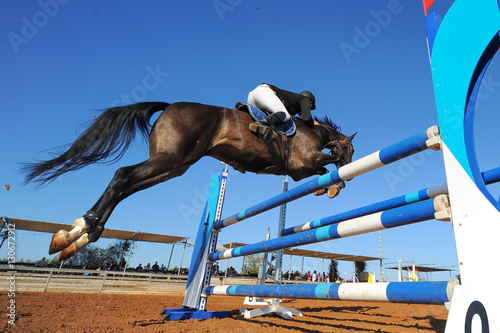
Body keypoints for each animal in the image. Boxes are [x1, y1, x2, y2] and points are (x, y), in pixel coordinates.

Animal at [23, 101, 356, 260]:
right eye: (351, 151)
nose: (350, 168)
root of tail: (168, 106)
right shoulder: (304, 162)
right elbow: (324, 164)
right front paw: (337, 184)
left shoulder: (300, 170)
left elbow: (320, 173)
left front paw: (330, 186)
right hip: (170, 159)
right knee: (122, 176)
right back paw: (82, 227)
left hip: (174, 166)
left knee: (126, 186)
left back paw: (76, 236)